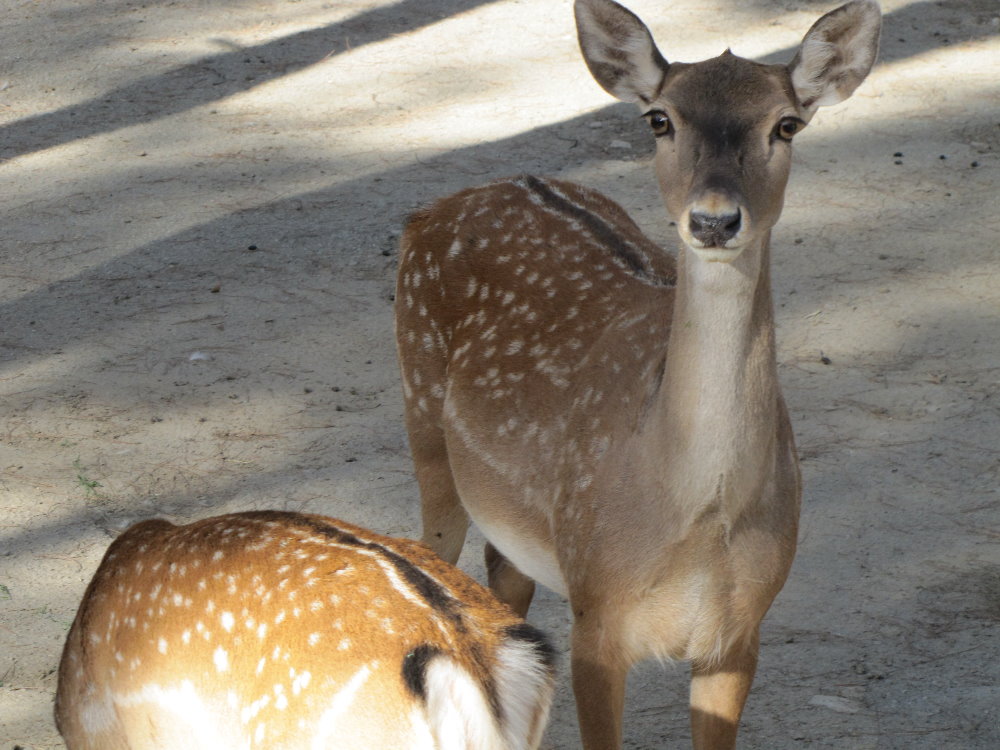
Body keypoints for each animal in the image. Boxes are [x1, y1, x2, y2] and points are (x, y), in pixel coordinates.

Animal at [394, 0, 881, 747]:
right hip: (424, 422)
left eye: (786, 124)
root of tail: (431, 211)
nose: (714, 220)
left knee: (505, 586)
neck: (693, 514)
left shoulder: (740, 634)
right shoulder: (597, 614)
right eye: (660, 119)